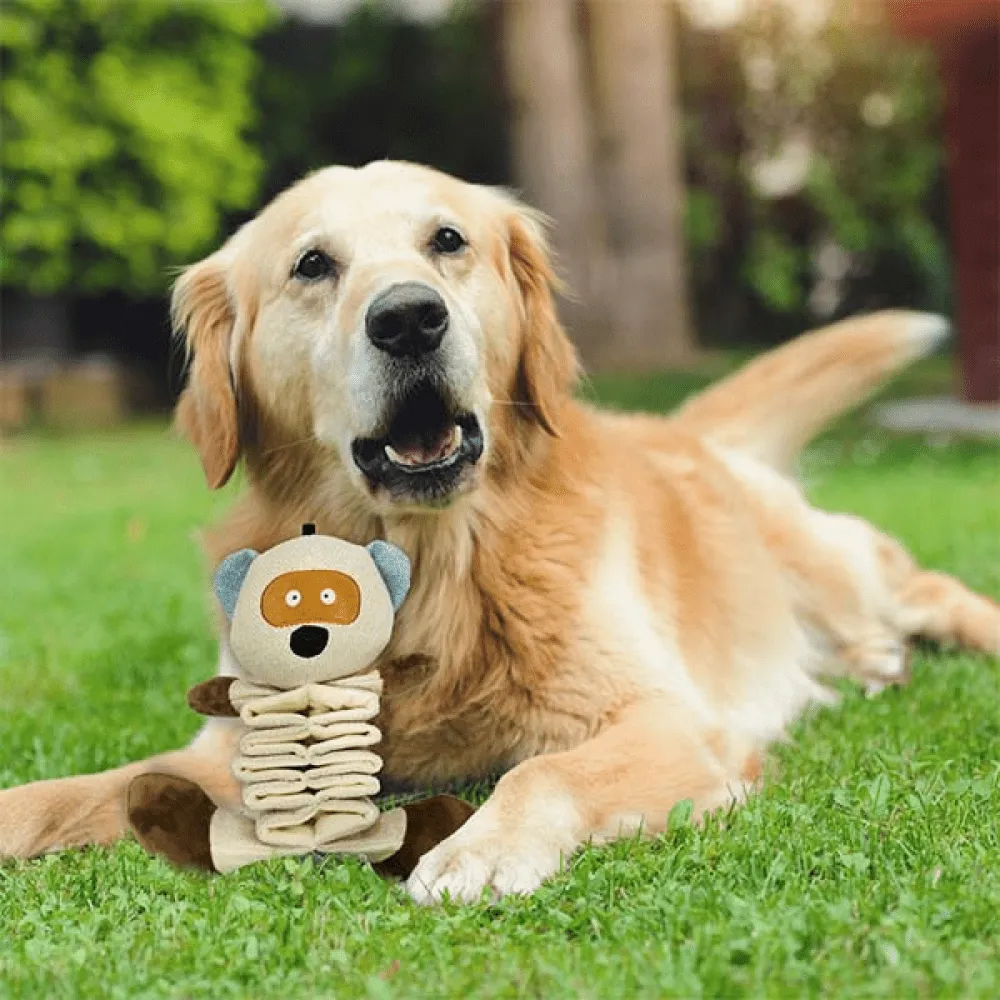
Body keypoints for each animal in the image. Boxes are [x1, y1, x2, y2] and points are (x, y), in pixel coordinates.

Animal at [1, 160, 1000, 904]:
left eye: (448, 242)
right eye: (312, 265)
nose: (409, 317)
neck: (432, 563)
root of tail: (688, 431)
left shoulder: (668, 720)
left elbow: (542, 773)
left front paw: (479, 849)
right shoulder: (239, 747)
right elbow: (79, 790)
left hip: (835, 570)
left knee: (929, 589)